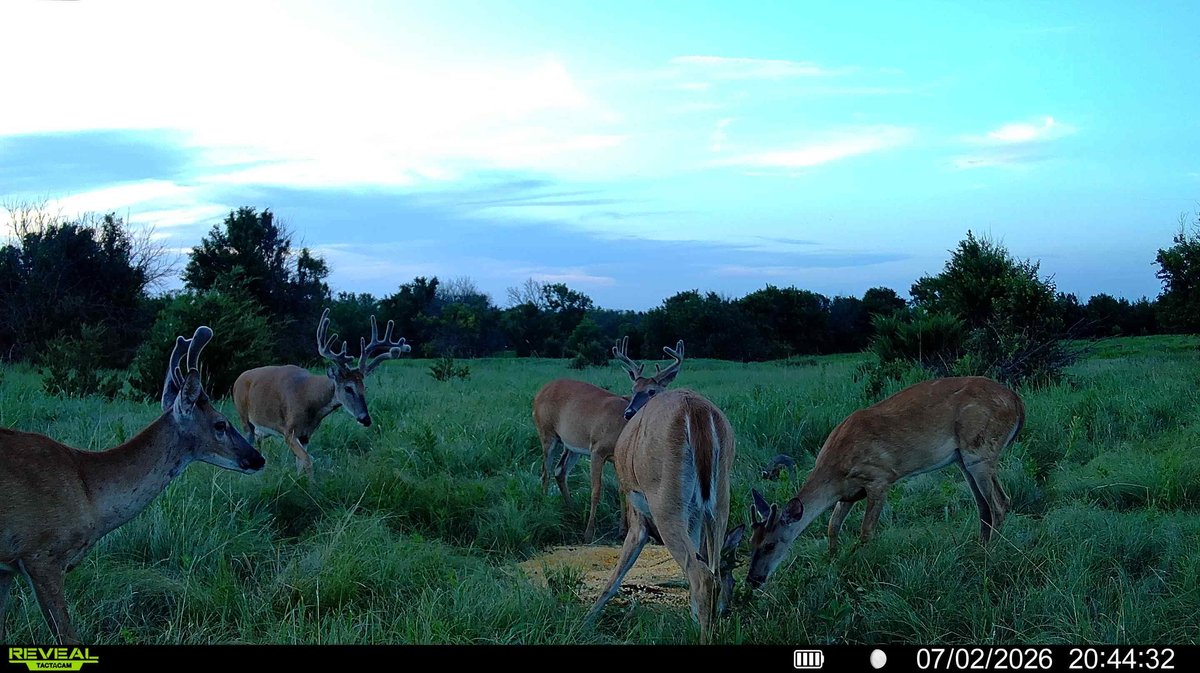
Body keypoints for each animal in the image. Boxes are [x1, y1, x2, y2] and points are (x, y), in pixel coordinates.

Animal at [0, 326, 265, 644]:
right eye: (221, 424)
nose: (257, 458)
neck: (86, 488)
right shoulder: (41, 554)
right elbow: (68, 637)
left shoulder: (5, 568)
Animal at [232, 308, 410, 475]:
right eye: (348, 388)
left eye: (364, 388)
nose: (365, 419)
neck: (309, 399)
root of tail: (237, 379)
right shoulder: (288, 431)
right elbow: (308, 461)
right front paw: (311, 486)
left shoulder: (306, 435)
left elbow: (301, 464)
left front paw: (300, 482)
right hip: (244, 418)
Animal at [533, 336, 684, 541]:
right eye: (633, 388)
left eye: (652, 391)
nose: (629, 412)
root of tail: (541, 390)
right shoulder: (597, 449)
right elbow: (596, 490)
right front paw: (589, 533)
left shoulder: (617, 458)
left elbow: (622, 491)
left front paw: (622, 530)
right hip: (547, 432)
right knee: (545, 471)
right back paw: (545, 506)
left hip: (571, 445)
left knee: (560, 470)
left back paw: (572, 510)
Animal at [584, 388, 743, 643]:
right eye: (734, 577)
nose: (726, 610)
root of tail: (696, 410)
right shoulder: (695, 519)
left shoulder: (638, 519)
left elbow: (616, 577)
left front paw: (585, 622)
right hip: (719, 501)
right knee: (711, 571)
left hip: (665, 503)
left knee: (702, 577)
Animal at [745, 376, 1025, 588]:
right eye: (750, 542)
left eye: (770, 544)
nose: (752, 580)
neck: (836, 468)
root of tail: (1017, 402)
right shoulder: (848, 493)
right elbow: (833, 526)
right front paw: (832, 562)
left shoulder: (879, 478)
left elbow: (866, 531)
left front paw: (860, 568)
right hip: (964, 460)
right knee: (984, 506)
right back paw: (979, 549)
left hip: (979, 450)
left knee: (1000, 503)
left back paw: (990, 556)